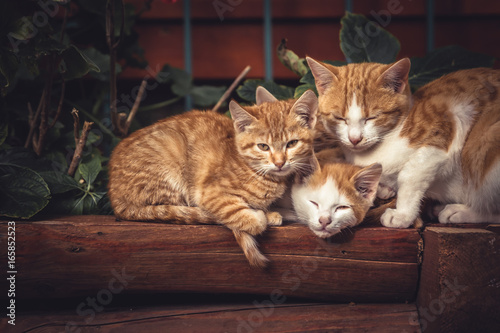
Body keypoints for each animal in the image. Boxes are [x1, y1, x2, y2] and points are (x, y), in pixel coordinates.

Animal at [108, 86, 320, 268]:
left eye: (292, 143)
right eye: (263, 146)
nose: (279, 162)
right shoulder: (208, 194)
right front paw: (261, 216)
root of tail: (114, 196)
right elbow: (244, 217)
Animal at [306, 56, 500, 228]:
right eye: (339, 118)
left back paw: (460, 211)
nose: (355, 139)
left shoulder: (446, 130)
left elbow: (409, 176)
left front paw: (402, 215)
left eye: (372, 117)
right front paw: (383, 188)